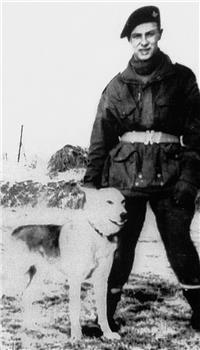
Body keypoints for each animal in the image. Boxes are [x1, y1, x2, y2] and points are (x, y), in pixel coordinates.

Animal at [10, 187, 126, 340]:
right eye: (109, 202)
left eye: (123, 201)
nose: (124, 215)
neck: (97, 234)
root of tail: (16, 230)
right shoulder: (75, 280)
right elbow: (75, 310)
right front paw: (76, 336)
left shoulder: (101, 281)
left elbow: (103, 311)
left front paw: (108, 334)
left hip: (40, 276)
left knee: (26, 295)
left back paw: (30, 327)